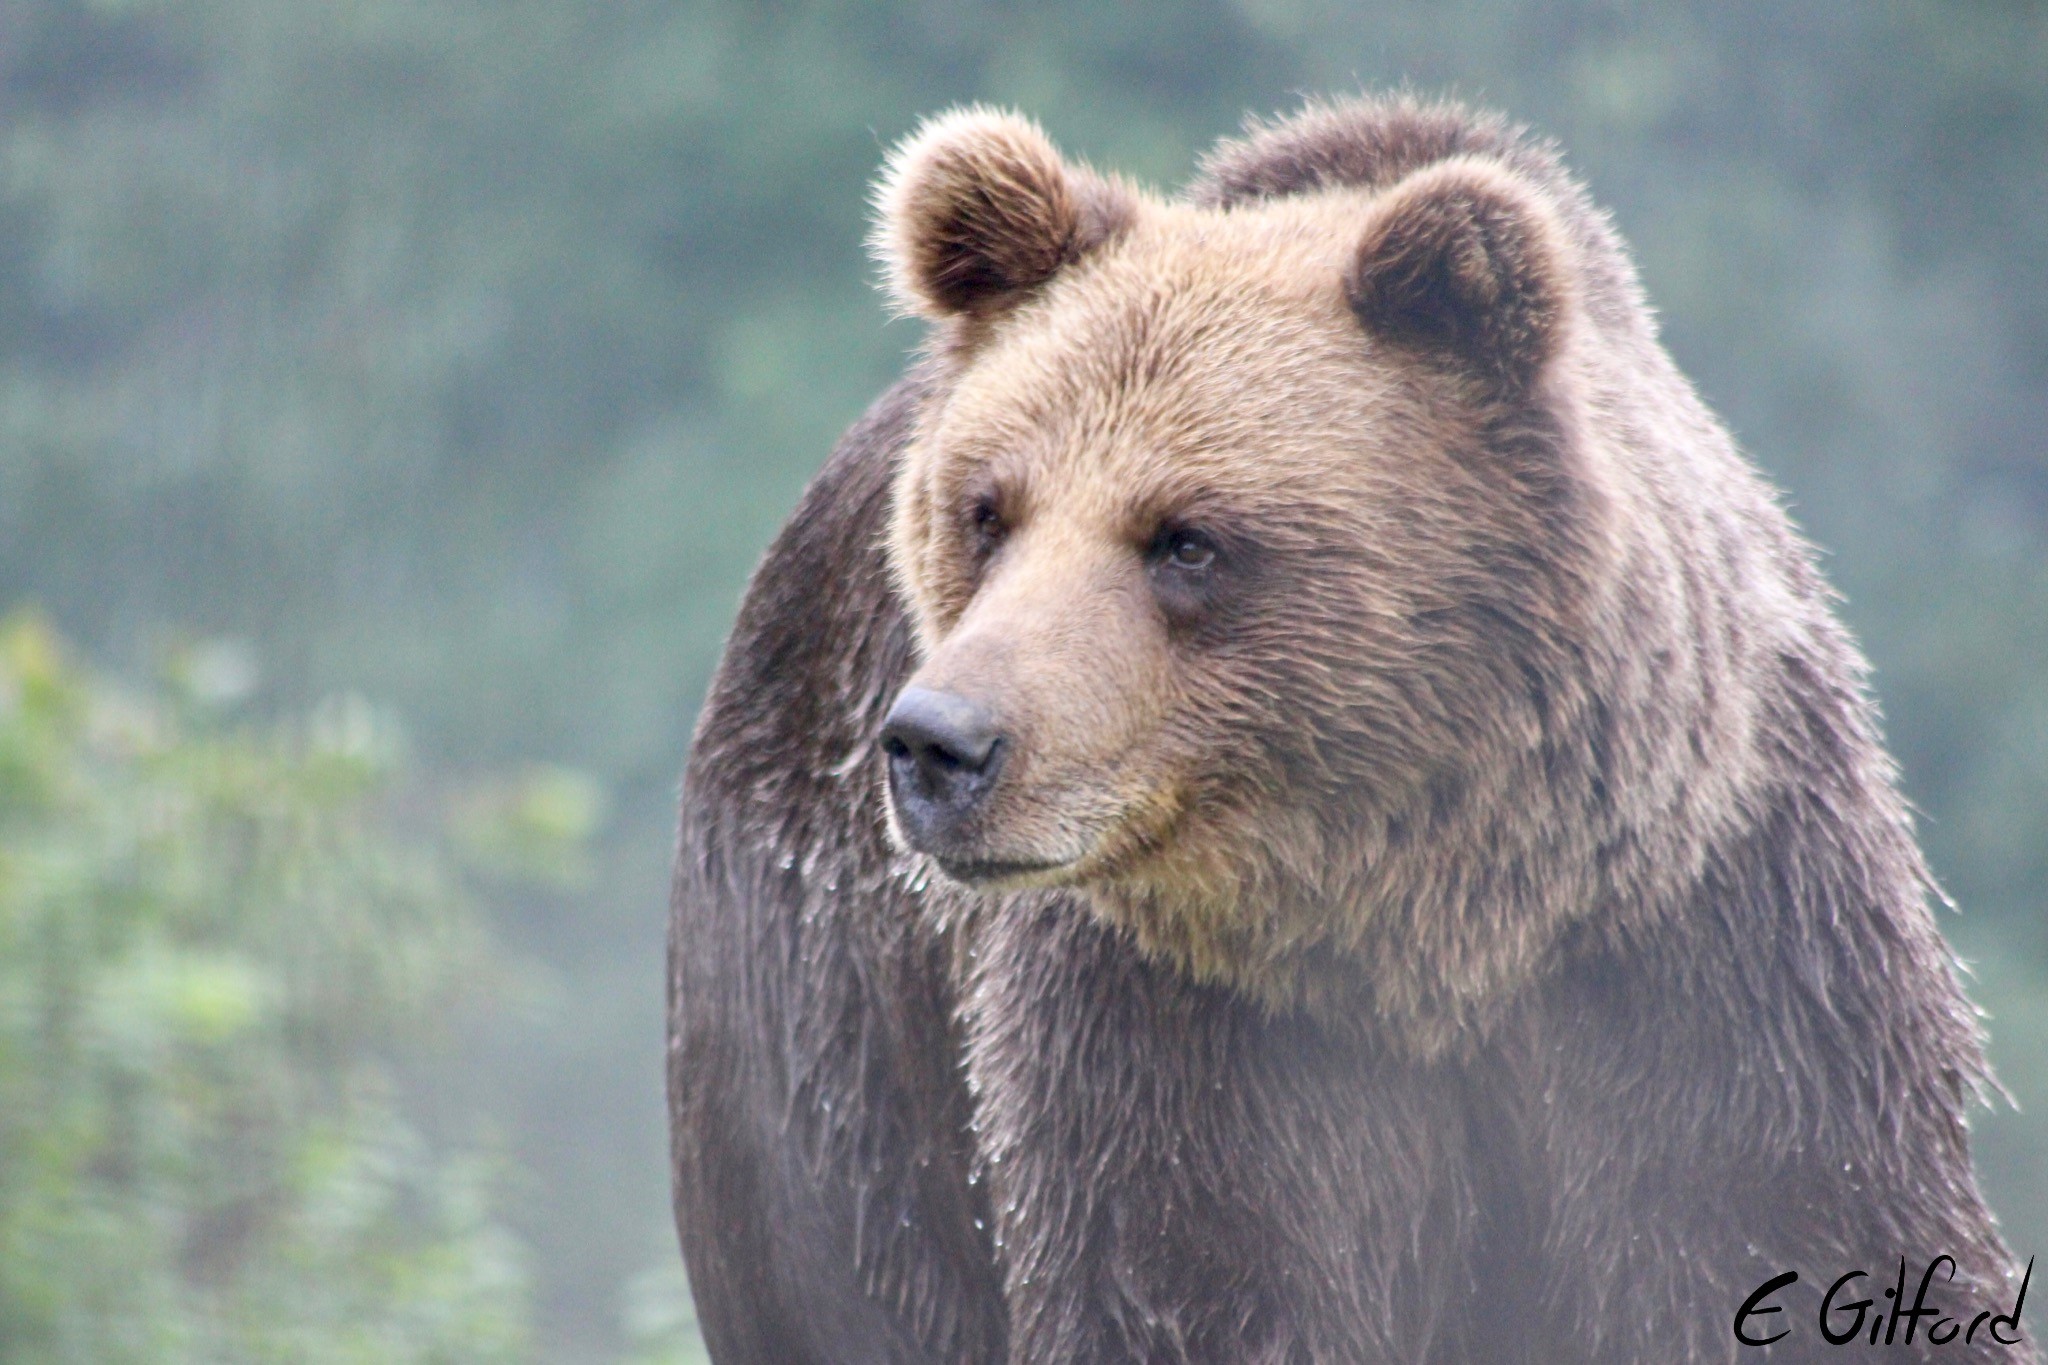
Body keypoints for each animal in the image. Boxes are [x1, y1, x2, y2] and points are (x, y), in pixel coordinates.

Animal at [671, 98, 2031, 1365]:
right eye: (986, 510)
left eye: (1186, 537)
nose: (938, 744)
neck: (1431, 919)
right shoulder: (1172, 1041)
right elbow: (1185, 1290)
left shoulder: (1713, 951)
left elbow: (1797, 1224)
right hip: (822, 1050)